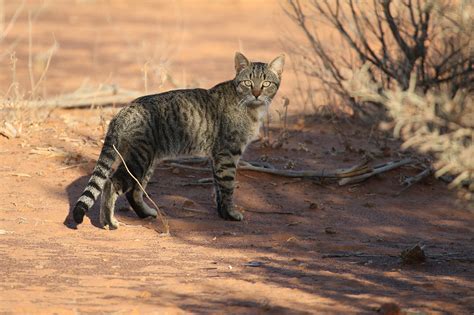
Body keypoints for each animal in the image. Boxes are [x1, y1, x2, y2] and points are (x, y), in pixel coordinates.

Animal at [71, 52, 286, 230]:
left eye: (266, 84)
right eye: (248, 83)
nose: (257, 93)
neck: (252, 108)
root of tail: (122, 112)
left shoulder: (216, 156)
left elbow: (217, 188)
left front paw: (222, 213)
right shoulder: (228, 153)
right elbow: (227, 187)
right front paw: (231, 214)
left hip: (147, 162)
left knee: (134, 192)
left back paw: (144, 214)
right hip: (139, 159)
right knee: (112, 183)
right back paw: (109, 221)